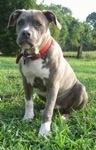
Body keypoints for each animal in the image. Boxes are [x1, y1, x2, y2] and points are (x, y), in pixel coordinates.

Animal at [7, 9, 88, 137]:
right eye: (20, 22)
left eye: (38, 24)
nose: (25, 33)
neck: (35, 55)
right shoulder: (26, 81)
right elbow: (28, 102)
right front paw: (28, 117)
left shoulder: (52, 85)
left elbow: (48, 110)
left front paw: (44, 131)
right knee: (52, 107)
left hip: (81, 89)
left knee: (70, 109)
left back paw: (64, 116)